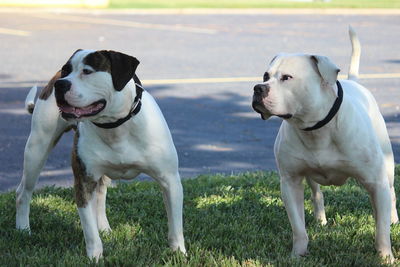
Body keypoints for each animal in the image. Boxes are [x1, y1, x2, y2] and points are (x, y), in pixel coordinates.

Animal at [15, 49, 184, 260]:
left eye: (87, 71)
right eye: (66, 70)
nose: (60, 84)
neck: (114, 126)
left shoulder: (170, 180)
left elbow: (175, 225)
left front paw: (179, 253)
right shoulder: (83, 181)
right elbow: (89, 229)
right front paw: (95, 256)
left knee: (101, 194)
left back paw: (104, 227)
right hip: (37, 150)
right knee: (24, 192)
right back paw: (23, 229)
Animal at [252, 27, 398, 264]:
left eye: (287, 78)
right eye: (266, 76)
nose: (258, 88)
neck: (316, 128)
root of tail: (354, 82)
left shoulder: (375, 182)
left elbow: (381, 231)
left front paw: (386, 257)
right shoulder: (290, 182)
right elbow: (298, 228)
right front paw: (297, 255)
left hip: (388, 166)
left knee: (391, 195)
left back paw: (392, 219)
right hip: (310, 176)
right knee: (316, 193)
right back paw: (320, 219)